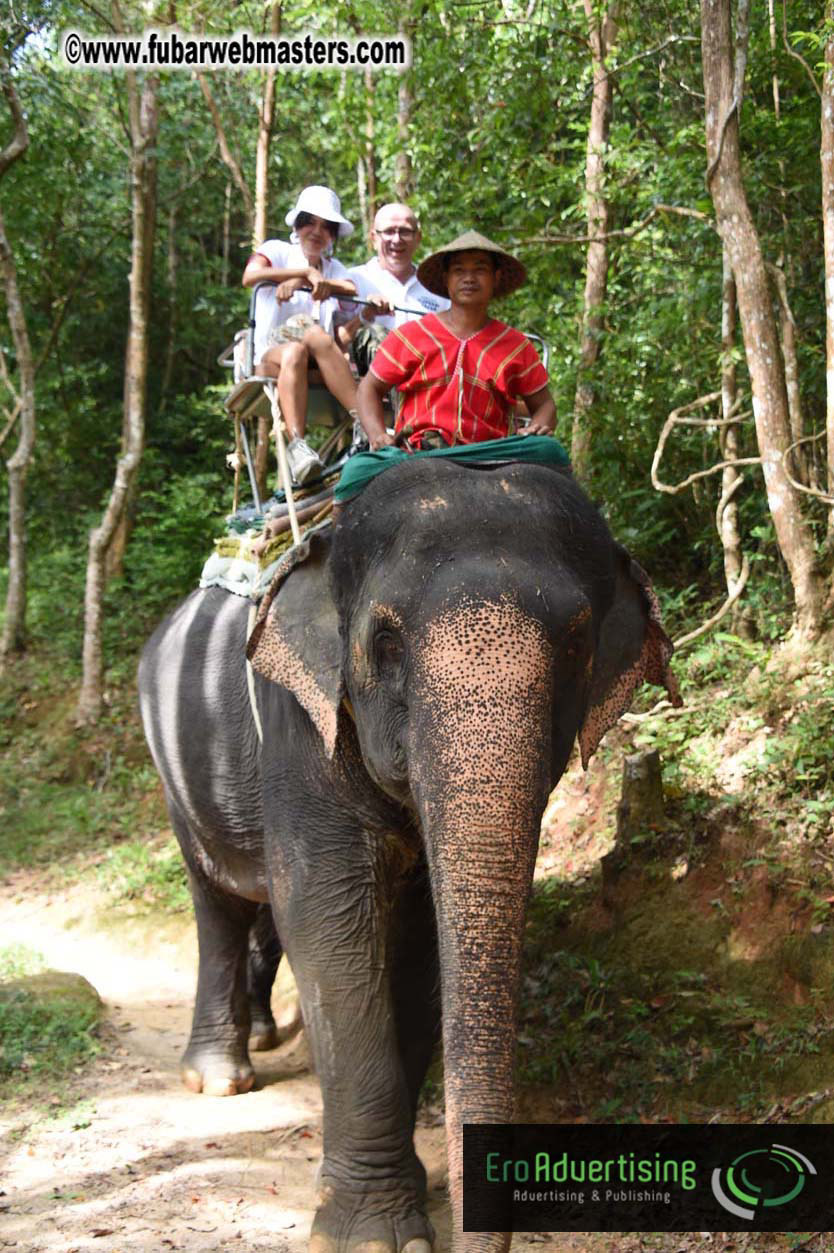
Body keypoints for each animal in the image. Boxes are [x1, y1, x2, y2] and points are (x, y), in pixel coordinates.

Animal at [138, 453, 679, 1253]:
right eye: (386, 644)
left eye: (579, 646)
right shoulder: (301, 720)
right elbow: (329, 923)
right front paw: (372, 1235)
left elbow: (421, 943)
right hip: (176, 771)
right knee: (221, 904)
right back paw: (220, 1078)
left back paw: (261, 1038)